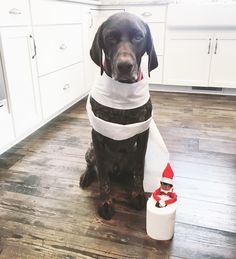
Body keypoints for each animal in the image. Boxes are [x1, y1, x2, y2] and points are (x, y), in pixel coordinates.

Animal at [79, 11, 159, 219]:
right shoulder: (97, 135)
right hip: (90, 150)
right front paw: (106, 202)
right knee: (94, 167)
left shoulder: (143, 134)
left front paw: (137, 194)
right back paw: (86, 176)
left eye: (138, 37)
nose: (124, 66)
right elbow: (103, 178)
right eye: (110, 37)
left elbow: (139, 170)